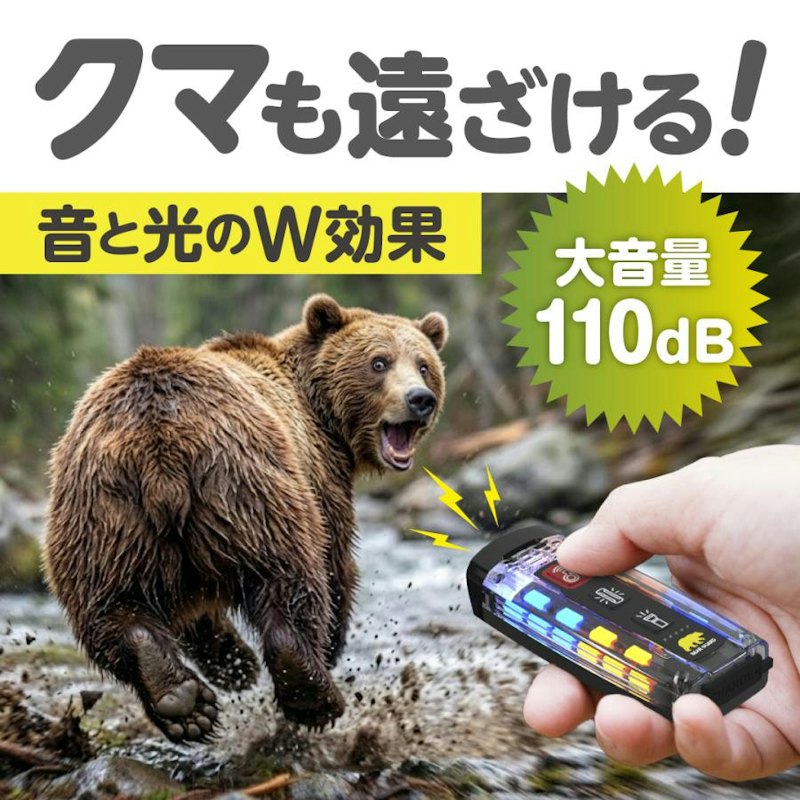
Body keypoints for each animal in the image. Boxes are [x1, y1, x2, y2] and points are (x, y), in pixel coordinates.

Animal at [43, 294, 447, 743]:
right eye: (379, 362)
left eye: (424, 365)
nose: (419, 398)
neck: (320, 412)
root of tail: (158, 443)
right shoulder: (320, 475)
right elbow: (335, 563)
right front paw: (325, 646)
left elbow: (193, 611)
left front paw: (235, 666)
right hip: (246, 486)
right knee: (289, 574)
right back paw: (311, 695)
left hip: (103, 514)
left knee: (106, 606)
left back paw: (179, 697)